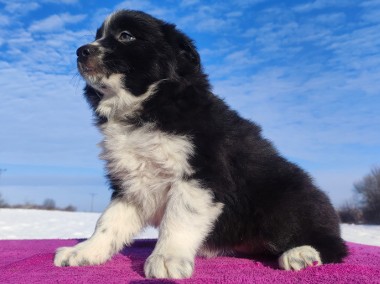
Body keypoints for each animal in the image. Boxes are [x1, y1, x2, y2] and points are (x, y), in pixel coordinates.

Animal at [53, 10, 348, 278]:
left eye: (126, 36)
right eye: (97, 36)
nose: (80, 51)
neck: (148, 105)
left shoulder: (201, 173)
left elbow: (178, 218)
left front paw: (167, 259)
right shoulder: (131, 182)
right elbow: (107, 222)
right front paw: (84, 252)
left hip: (287, 200)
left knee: (336, 246)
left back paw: (301, 253)